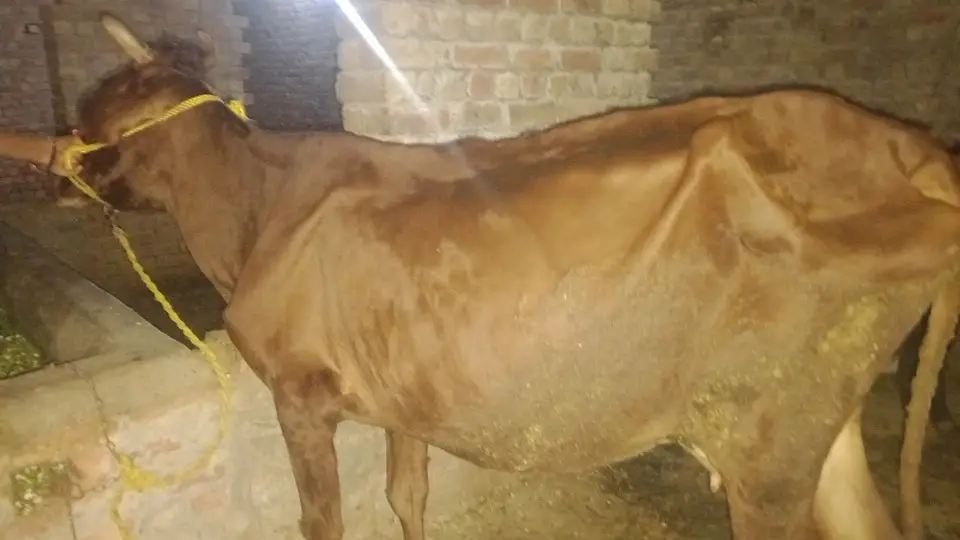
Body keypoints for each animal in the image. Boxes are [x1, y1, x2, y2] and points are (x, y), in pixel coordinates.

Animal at [60, 13, 960, 540]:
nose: (58, 162)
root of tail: (913, 149)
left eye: (95, 111)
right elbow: (406, 495)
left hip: (764, 455)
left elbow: (325, 521)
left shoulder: (300, 396)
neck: (254, 214)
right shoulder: (403, 395)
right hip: (817, 427)